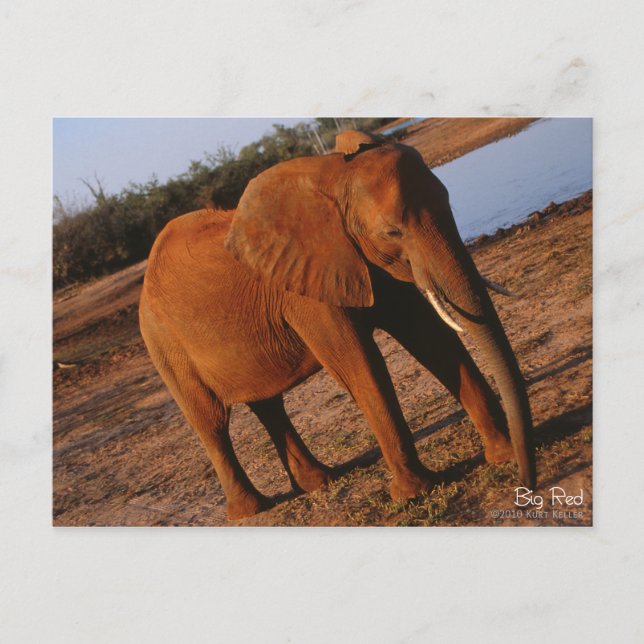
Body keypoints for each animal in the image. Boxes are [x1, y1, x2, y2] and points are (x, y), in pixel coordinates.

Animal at [139, 131, 535, 520]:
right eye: (392, 231)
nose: (525, 486)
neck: (335, 178)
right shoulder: (305, 287)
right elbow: (358, 364)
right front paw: (412, 493)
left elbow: (428, 335)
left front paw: (500, 454)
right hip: (164, 346)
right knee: (211, 422)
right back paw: (250, 510)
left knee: (269, 406)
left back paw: (320, 481)